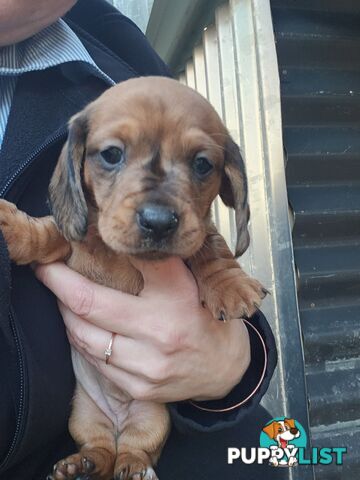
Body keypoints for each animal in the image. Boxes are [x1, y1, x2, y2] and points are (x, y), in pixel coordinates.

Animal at [0, 78, 266, 480]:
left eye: (202, 164)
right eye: (111, 154)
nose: (158, 221)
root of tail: (117, 420)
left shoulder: (199, 233)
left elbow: (210, 247)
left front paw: (229, 284)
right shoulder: (69, 242)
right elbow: (47, 232)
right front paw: (13, 228)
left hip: (153, 418)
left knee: (132, 450)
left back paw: (133, 467)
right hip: (84, 416)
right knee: (100, 448)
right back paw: (80, 465)